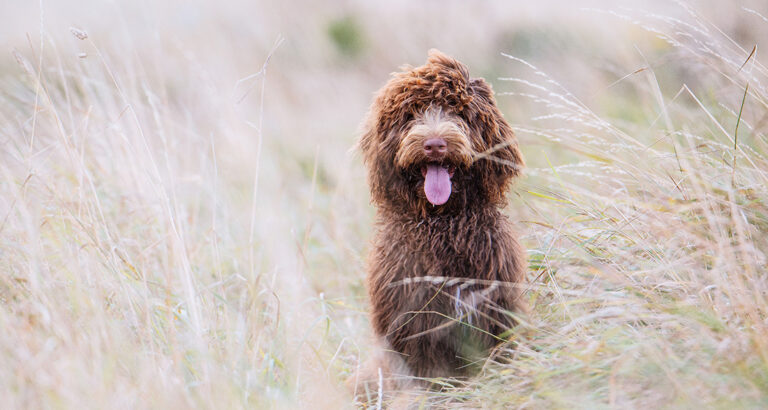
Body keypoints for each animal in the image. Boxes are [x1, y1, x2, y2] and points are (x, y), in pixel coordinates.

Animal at [356, 50, 524, 388]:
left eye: (458, 112)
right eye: (410, 115)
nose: (434, 144)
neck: (441, 222)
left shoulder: (496, 308)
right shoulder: (413, 323)